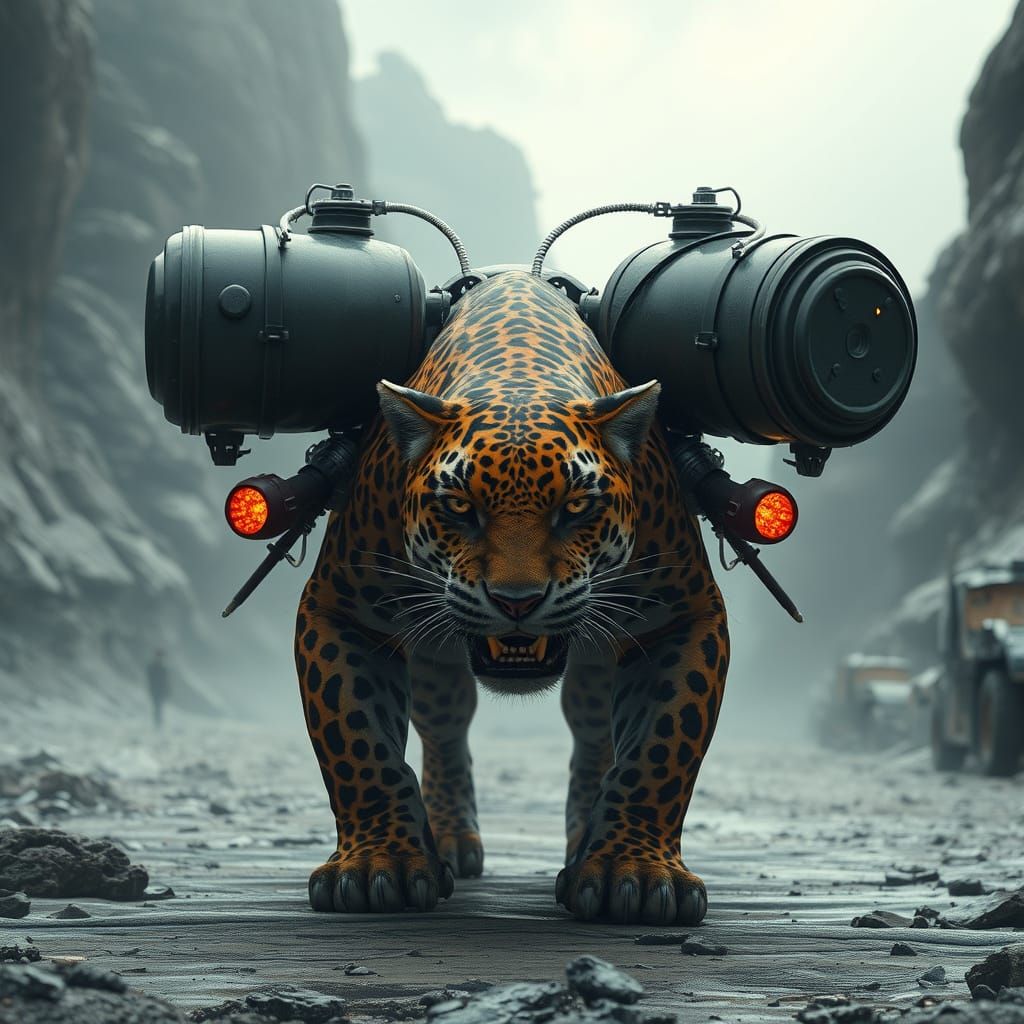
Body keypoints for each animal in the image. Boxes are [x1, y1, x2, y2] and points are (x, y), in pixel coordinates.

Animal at [295, 269, 728, 925]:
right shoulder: (341, 610)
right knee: (445, 724)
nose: (517, 601)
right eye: (459, 506)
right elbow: (358, 743)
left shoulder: (682, 616)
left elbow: (660, 751)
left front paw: (632, 874)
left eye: (575, 507)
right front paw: (379, 867)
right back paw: (450, 838)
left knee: (594, 728)